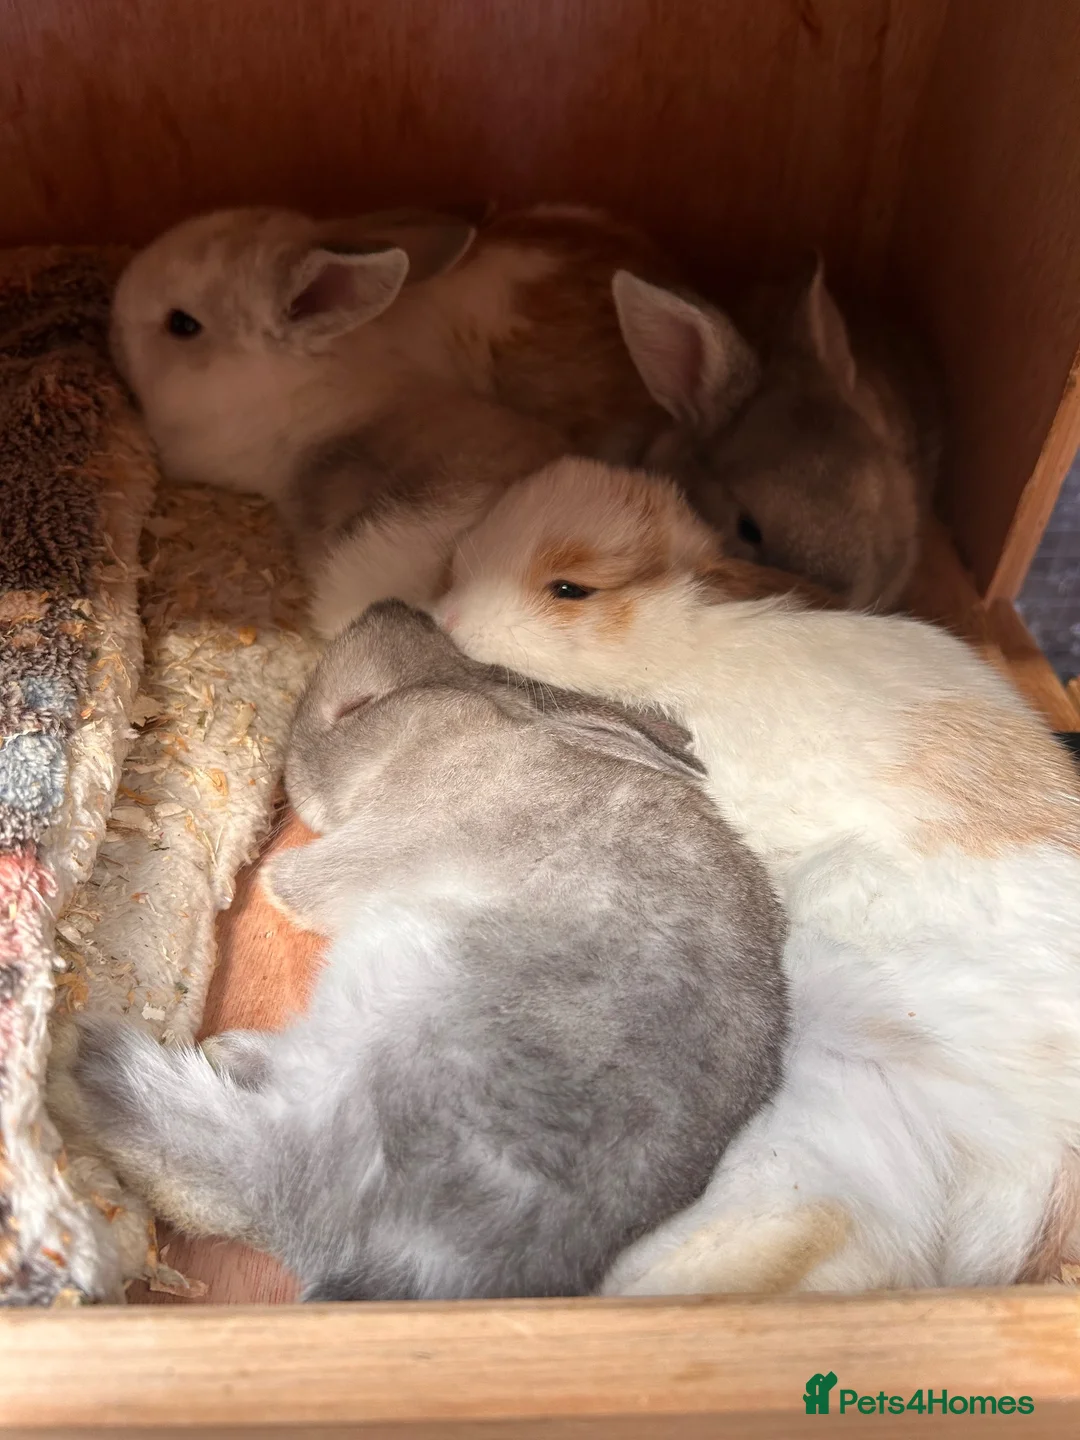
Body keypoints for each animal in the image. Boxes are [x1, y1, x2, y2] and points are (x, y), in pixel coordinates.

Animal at [53, 600, 788, 1302]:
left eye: (356, 708)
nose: (391, 605)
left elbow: (295, 883)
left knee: (244, 1162)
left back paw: (97, 1058)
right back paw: (226, 1055)